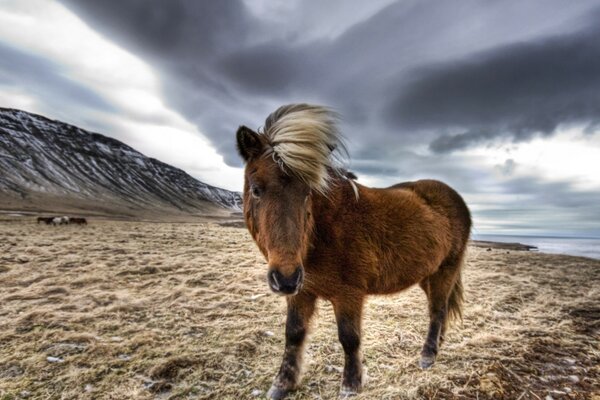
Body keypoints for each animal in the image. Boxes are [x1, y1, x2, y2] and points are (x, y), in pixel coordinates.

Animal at [237, 104, 472, 398]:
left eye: (307, 193)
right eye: (256, 190)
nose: (286, 278)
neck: (323, 232)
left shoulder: (349, 295)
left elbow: (349, 339)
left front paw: (351, 384)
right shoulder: (302, 293)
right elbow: (293, 334)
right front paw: (282, 384)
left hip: (445, 271)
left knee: (437, 310)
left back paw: (428, 355)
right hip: (427, 275)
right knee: (439, 310)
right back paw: (438, 344)